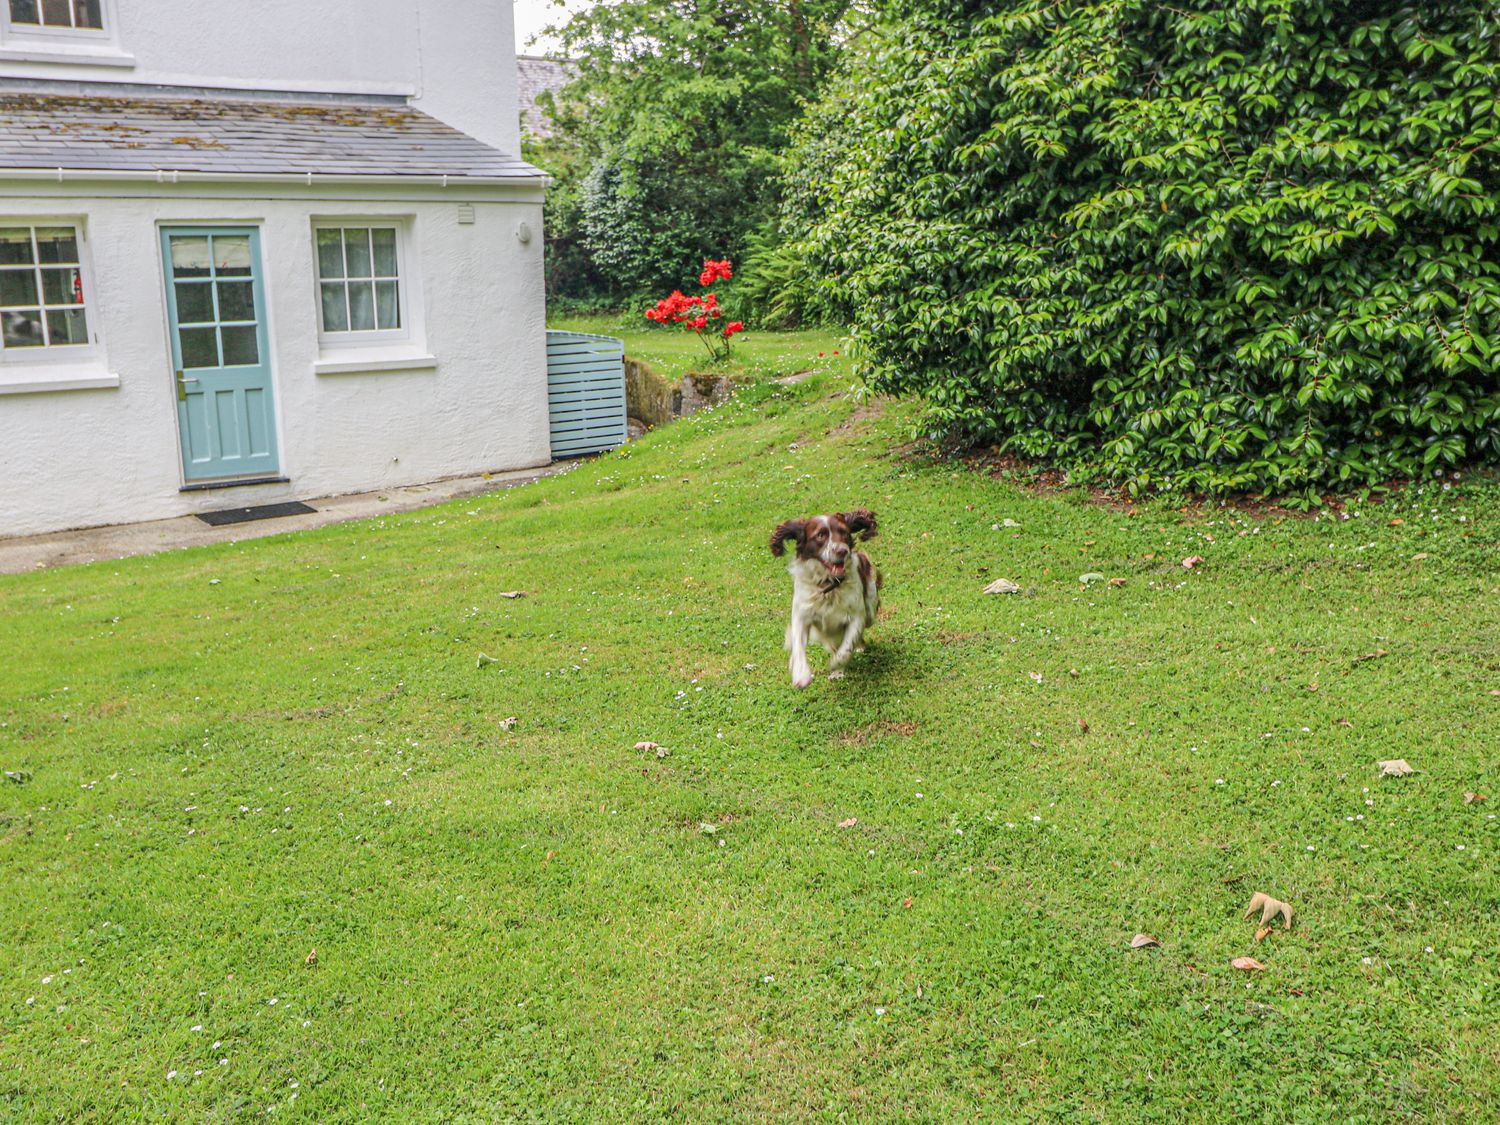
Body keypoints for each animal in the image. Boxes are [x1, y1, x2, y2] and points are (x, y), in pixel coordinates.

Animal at [774, 510, 876, 687]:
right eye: (820, 535)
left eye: (844, 532)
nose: (842, 551)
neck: (828, 586)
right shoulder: (802, 615)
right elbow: (798, 645)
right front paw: (801, 674)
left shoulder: (857, 616)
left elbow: (846, 648)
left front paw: (835, 664)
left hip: (870, 607)